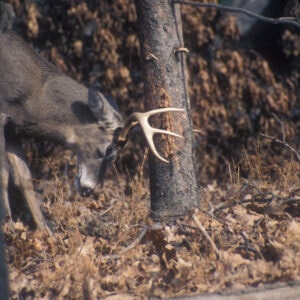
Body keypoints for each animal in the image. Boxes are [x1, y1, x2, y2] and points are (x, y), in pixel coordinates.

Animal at [0, 28, 183, 233]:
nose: (88, 189)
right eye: (108, 148)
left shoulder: (14, 129)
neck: (34, 97)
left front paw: (46, 232)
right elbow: (4, 175)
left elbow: (25, 178)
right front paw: (8, 226)